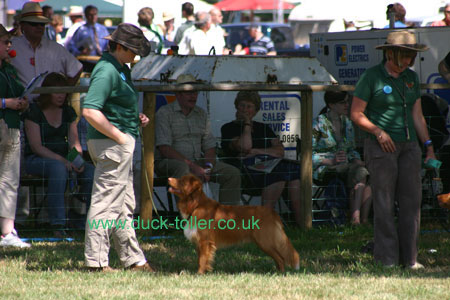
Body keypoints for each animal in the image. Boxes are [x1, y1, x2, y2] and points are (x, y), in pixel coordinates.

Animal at [167, 173, 300, 274]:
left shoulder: (204, 241)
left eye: (182, 181)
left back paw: (280, 274)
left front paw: (199, 274)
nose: (168, 178)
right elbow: (200, 259)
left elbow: (202, 260)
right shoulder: (200, 242)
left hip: (264, 241)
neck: (196, 205)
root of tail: (272, 212)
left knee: (281, 258)